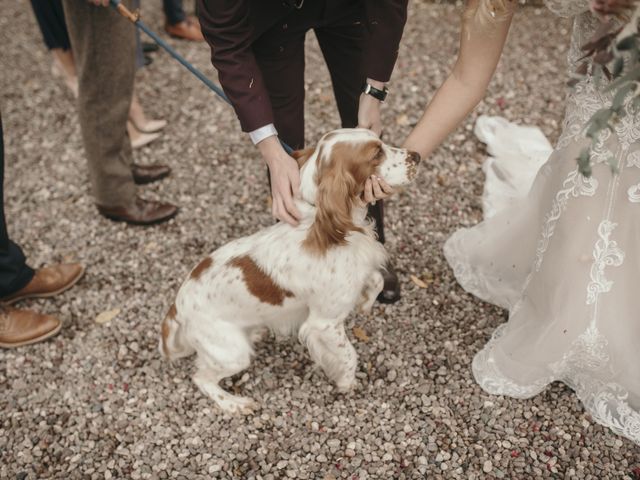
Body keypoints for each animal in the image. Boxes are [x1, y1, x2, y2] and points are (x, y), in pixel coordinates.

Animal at [160, 127, 420, 412]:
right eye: (376, 153)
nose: (417, 156)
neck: (326, 226)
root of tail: (176, 308)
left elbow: (375, 280)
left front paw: (364, 304)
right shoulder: (323, 323)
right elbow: (348, 354)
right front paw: (346, 382)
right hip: (232, 353)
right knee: (201, 378)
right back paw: (234, 404)